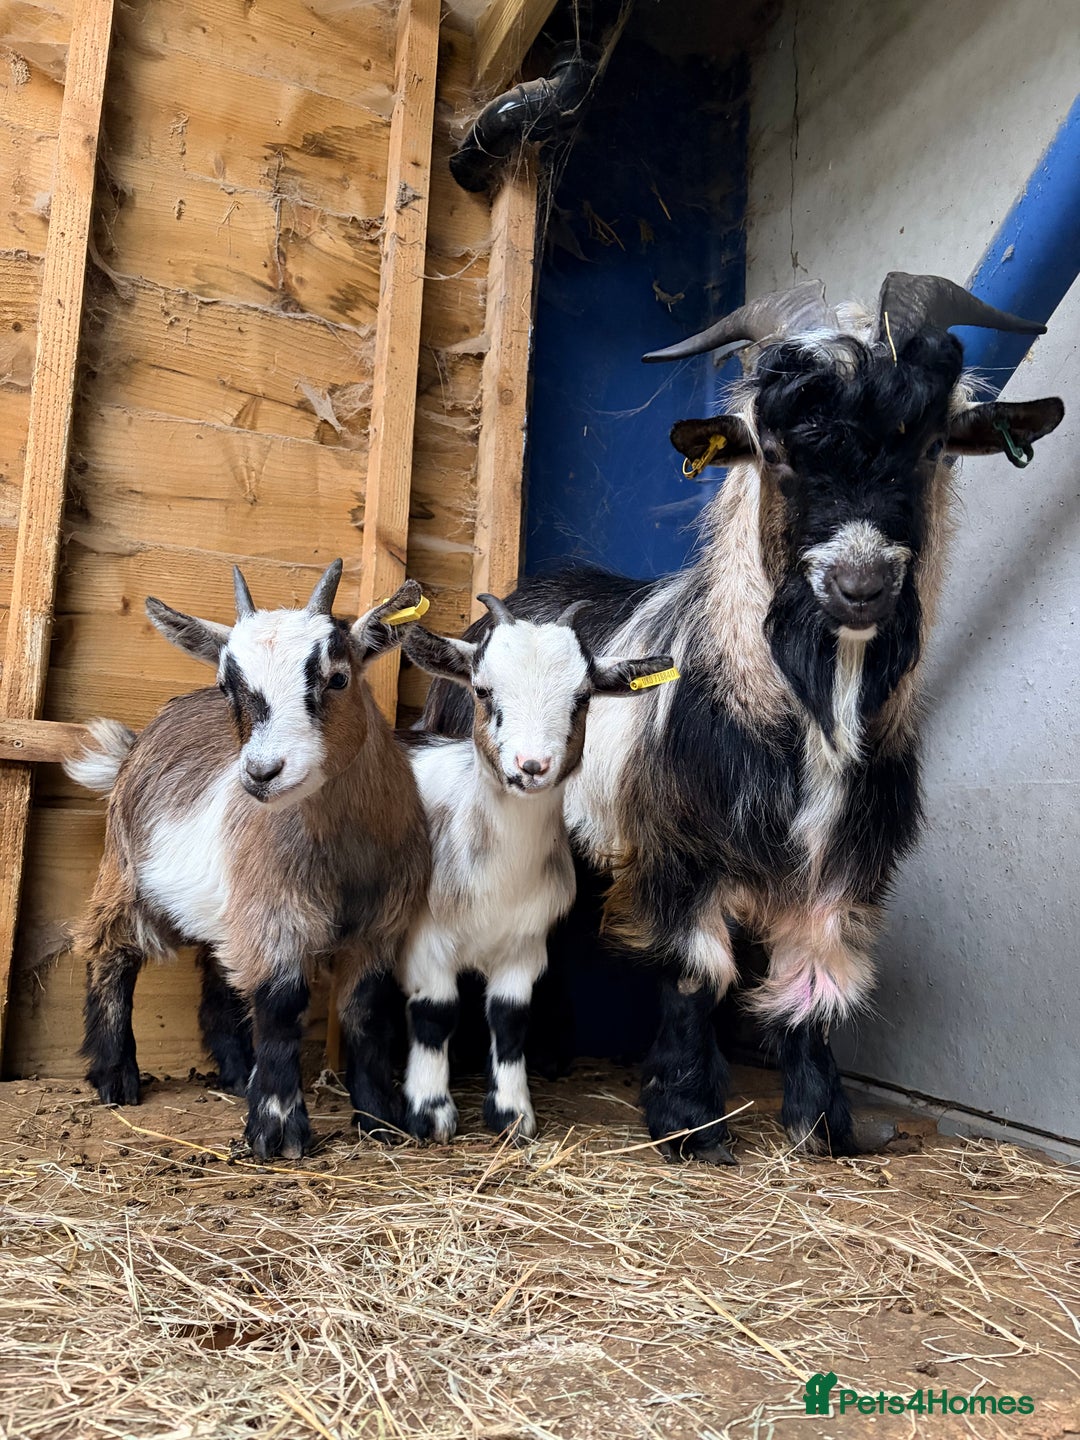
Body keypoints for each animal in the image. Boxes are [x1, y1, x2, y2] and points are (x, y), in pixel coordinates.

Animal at [65, 561, 431, 1159]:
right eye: (228, 686)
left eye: (337, 678)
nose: (261, 773)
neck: (344, 854)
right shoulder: (276, 912)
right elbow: (281, 1008)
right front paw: (278, 1131)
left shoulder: (380, 923)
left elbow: (364, 1011)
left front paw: (382, 1118)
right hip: (124, 870)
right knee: (110, 950)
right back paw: (115, 1076)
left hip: (225, 898)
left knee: (220, 971)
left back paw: (237, 1073)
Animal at [396, 593, 675, 1142]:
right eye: (483, 690)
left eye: (583, 698)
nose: (531, 766)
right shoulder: (426, 940)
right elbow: (435, 1014)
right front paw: (430, 1115)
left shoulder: (525, 946)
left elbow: (510, 1020)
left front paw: (513, 1116)